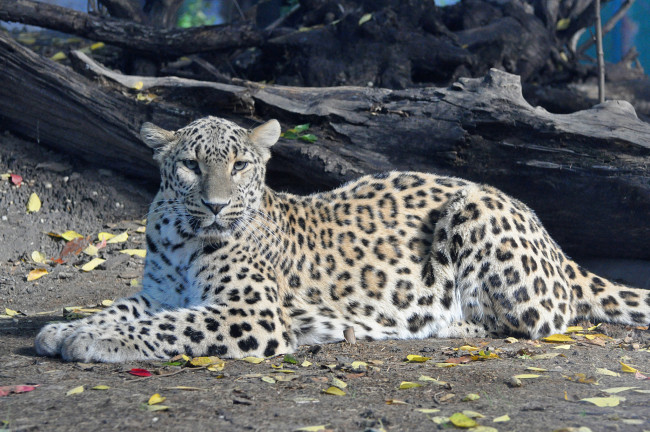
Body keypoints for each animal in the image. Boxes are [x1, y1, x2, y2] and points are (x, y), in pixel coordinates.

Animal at [35, 116, 648, 362]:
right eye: (190, 165)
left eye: (240, 165)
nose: (216, 205)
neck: (185, 237)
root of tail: (559, 249)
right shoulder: (158, 292)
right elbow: (123, 310)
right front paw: (65, 329)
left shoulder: (251, 313)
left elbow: (169, 327)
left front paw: (89, 341)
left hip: (475, 213)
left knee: (534, 320)